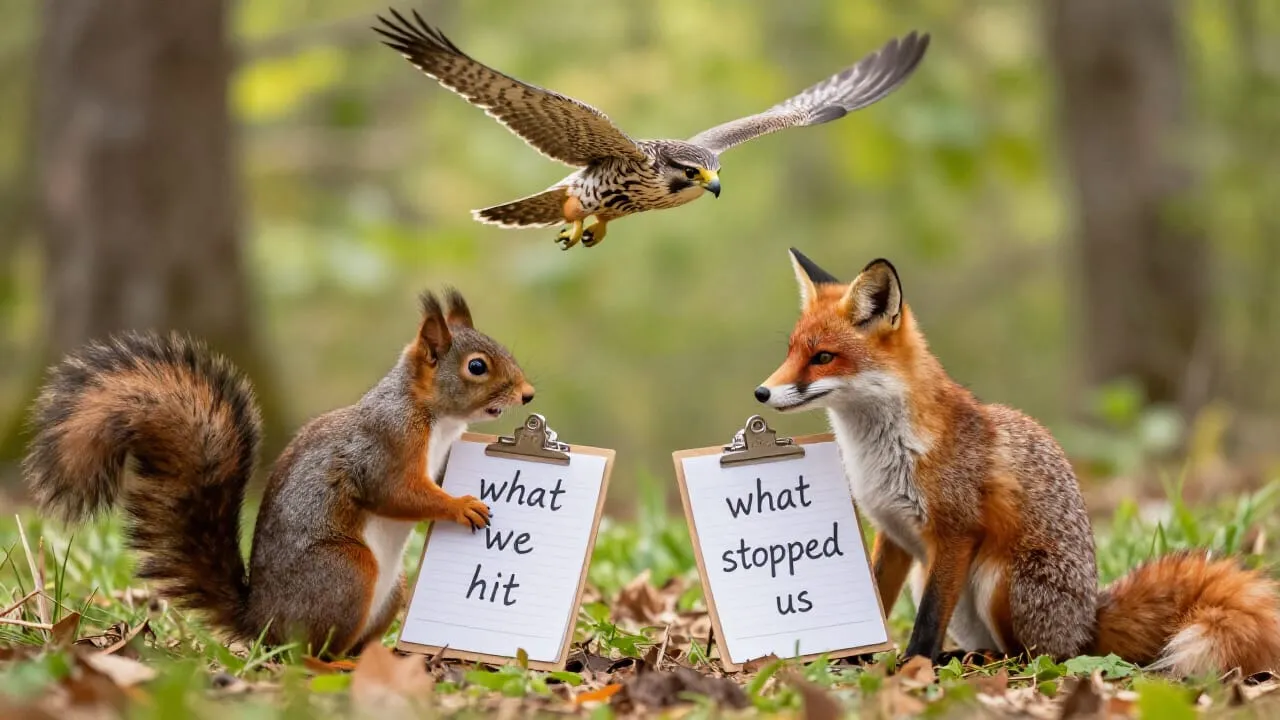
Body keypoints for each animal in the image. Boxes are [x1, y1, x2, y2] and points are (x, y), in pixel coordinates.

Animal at [23, 289, 535, 656]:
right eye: (476, 367)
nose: (528, 394)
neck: (433, 417)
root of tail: (263, 623)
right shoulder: (383, 446)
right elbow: (395, 493)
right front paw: (460, 506)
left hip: (390, 591)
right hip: (345, 570)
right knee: (306, 655)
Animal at [752, 248, 1280, 676]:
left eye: (823, 357)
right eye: (791, 351)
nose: (761, 392)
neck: (879, 453)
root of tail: (1086, 626)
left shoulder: (955, 531)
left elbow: (927, 620)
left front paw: (912, 665)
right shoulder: (893, 533)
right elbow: (877, 601)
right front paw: (853, 658)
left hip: (997, 579)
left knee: (1032, 656)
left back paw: (971, 661)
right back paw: (961, 656)